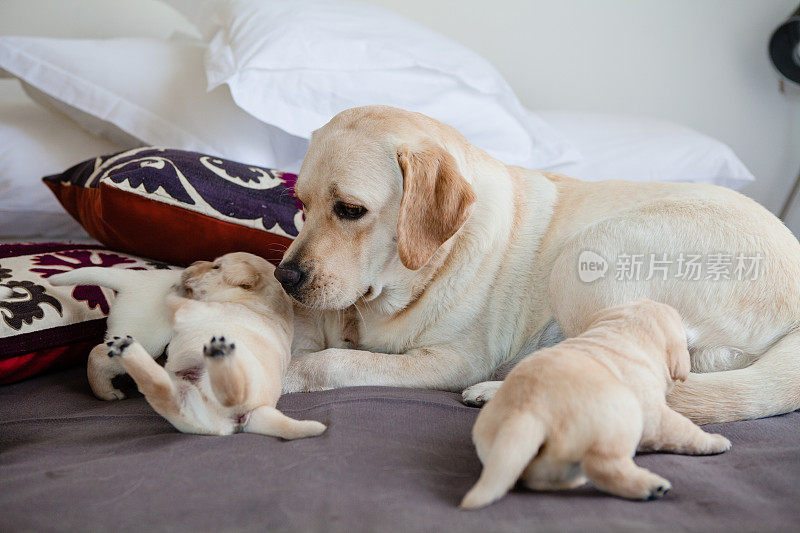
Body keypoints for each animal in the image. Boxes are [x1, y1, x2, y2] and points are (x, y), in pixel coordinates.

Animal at [107, 251, 324, 438]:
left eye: (216, 266)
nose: (192, 264)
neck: (253, 303)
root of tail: (257, 411)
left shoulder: (190, 310)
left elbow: (173, 300)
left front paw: (176, 287)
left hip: (245, 374)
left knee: (233, 393)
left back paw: (218, 354)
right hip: (192, 408)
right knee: (161, 390)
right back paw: (126, 349)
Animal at [278, 105, 800, 424]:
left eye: (350, 210)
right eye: (300, 203)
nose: (285, 276)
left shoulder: (453, 361)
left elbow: (334, 363)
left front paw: (287, 374)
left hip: (588, 255)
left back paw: (499, 390)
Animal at [460, 298, 728, 510]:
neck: (623, 334)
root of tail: (527, 412)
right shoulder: (655, 414)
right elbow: (682, 429)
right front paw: (713, 441)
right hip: (618, 422)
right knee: (604, 465)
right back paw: (650, 486)